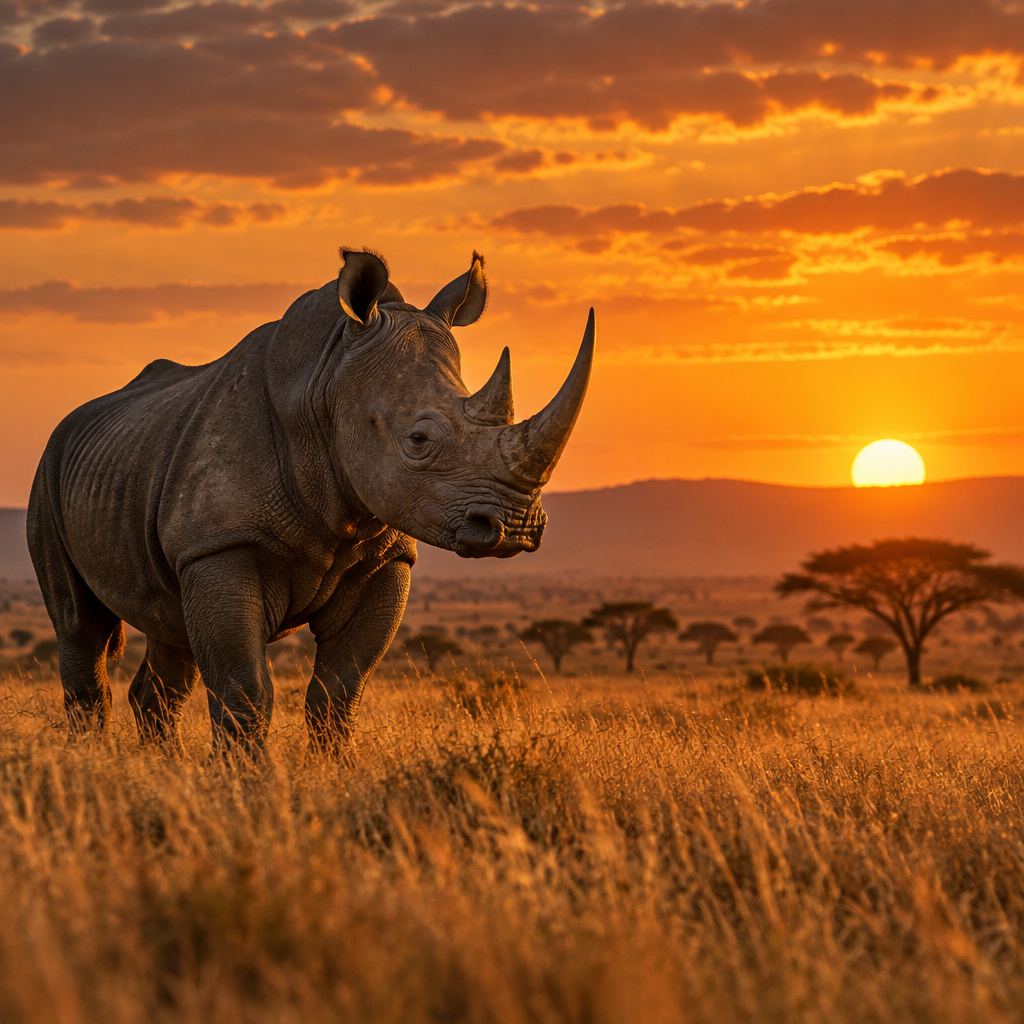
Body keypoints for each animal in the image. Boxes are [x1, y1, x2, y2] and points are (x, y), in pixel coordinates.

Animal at [28, 250, 594, 755]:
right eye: (418, 440)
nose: (516, 527)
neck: (327, 387)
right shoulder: (222, 544)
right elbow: (244, 689)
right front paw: (246, 787)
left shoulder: (385, 559)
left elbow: (340, 691)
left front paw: (333, 774)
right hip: (50, 469)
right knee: (80, 626)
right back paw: (90, 758)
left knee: (169, 633)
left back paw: (162, 769)